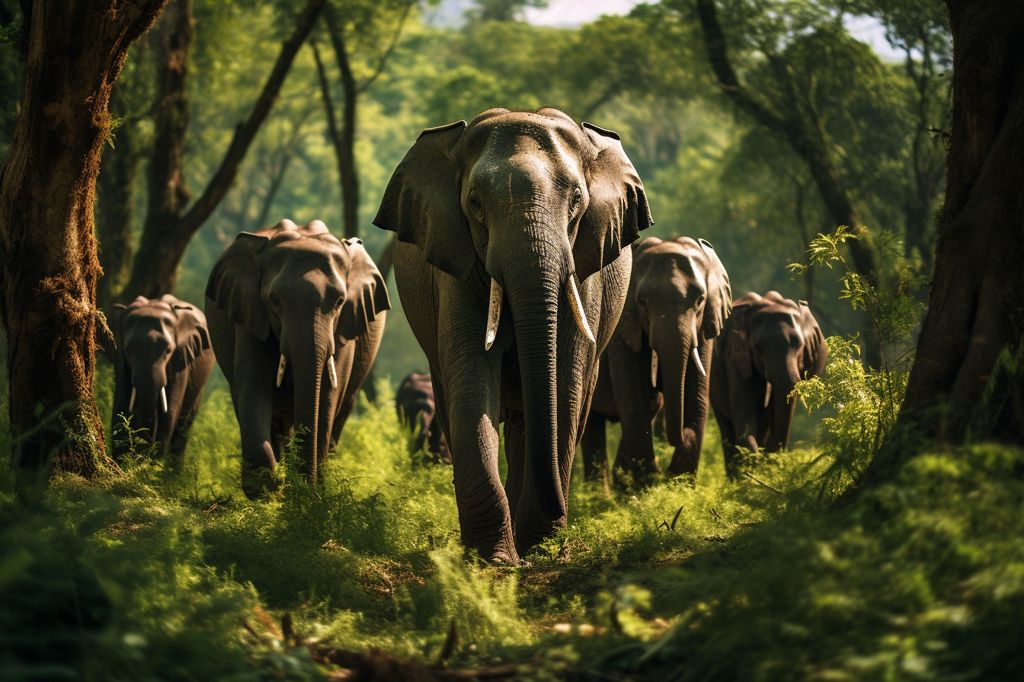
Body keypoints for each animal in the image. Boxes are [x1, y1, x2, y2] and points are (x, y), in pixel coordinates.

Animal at [110, 294, 215, 460]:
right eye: (128, 350)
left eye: (168, 350)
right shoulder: (120, 361)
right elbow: (119, 408)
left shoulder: (180, 358)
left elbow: (169, 415)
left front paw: (151, 466)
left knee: (183, 426)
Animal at [205, 219, 390, 497]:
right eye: (274, 300)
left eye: (340, 301)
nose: (301, 484)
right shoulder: (249, 312)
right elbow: (254, 386)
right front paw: (269, 486)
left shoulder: (347, 325)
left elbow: (328, 395)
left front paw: (308, 490)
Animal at [373, 107, 653, 564]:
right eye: (475, 203)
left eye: (577, 200)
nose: (560, 513)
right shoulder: (457, 265)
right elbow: (472, 381)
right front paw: (494, 560)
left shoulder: (586, 268)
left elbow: (566, 385)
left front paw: (538, 549)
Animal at [583, 236, 732, 488]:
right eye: (642, 302)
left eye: (700, 301)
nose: (679, 437)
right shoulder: (623, 328)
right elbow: (634, 398)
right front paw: (648, 484)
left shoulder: (704, 328)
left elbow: (696, 398)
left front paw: (676, 483)